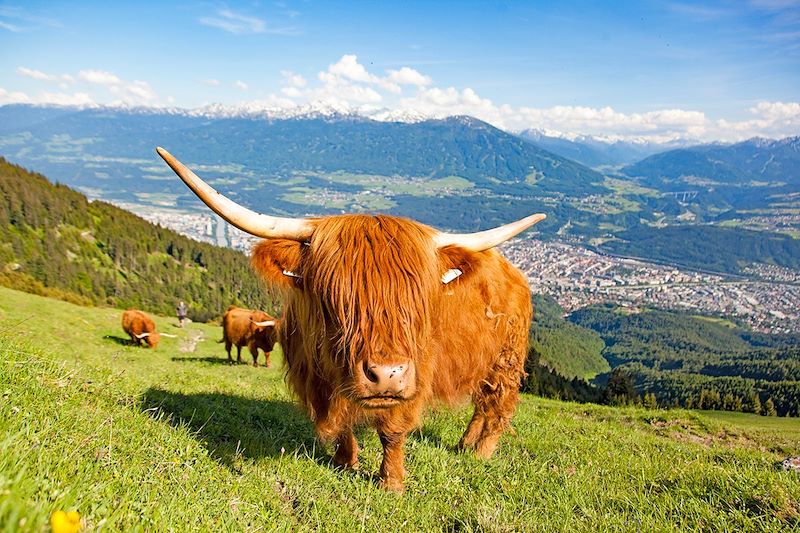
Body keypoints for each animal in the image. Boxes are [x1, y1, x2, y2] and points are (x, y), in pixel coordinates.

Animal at [158, 145, 544, 490]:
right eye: (334, 297)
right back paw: (464, 445)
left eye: (419, 300)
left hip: (506, 361)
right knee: (481, 403)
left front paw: (391, 483)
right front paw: (345, 462)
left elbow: (392, 430)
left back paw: (481, 452)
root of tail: (513, 272)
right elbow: (341, 423)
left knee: (497, 405)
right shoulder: (315, 379)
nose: (386, 375)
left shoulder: (414, 376)